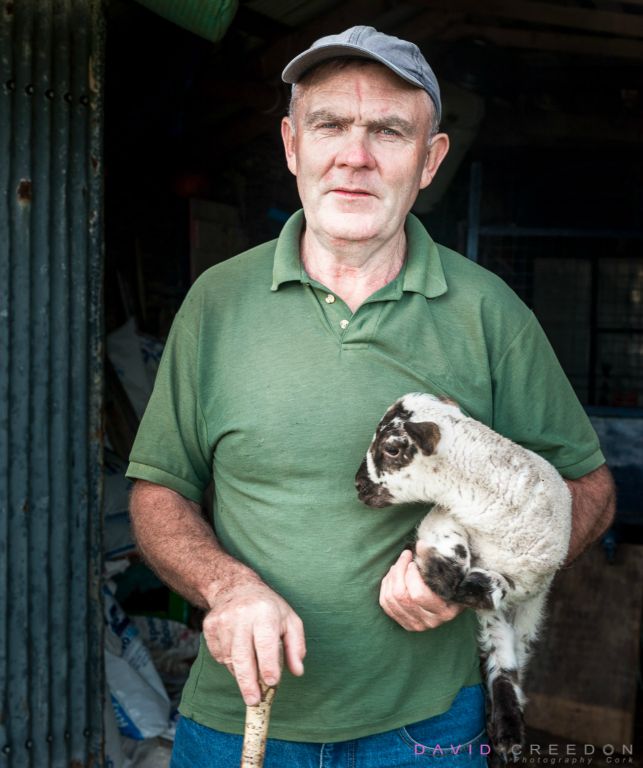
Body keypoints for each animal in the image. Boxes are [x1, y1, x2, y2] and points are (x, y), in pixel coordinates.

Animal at [358, 396, 572, 760]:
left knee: (506, 663)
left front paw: (462, 584)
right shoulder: (444, 516)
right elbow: (448, 548)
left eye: (392, 448)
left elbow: (495, 592)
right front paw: (444, 572)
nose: (358, 485)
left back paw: (509, 735)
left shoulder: (529, 584)